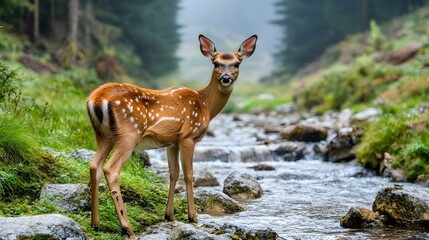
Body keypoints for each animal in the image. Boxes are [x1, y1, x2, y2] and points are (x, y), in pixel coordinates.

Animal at [85, 34, 256, 238]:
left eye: (237, 63)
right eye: (216, 63)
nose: (226, 78)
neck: (205, 104)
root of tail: (96, 99)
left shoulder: (172, 142)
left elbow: (174, 173)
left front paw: (169, 215)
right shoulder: (188, 136)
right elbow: (189, 175)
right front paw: (193, 216)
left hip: (104, 136)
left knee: (94, 166)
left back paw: (95, 223)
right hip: (129, 134)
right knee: (110, 169)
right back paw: (127, 227)